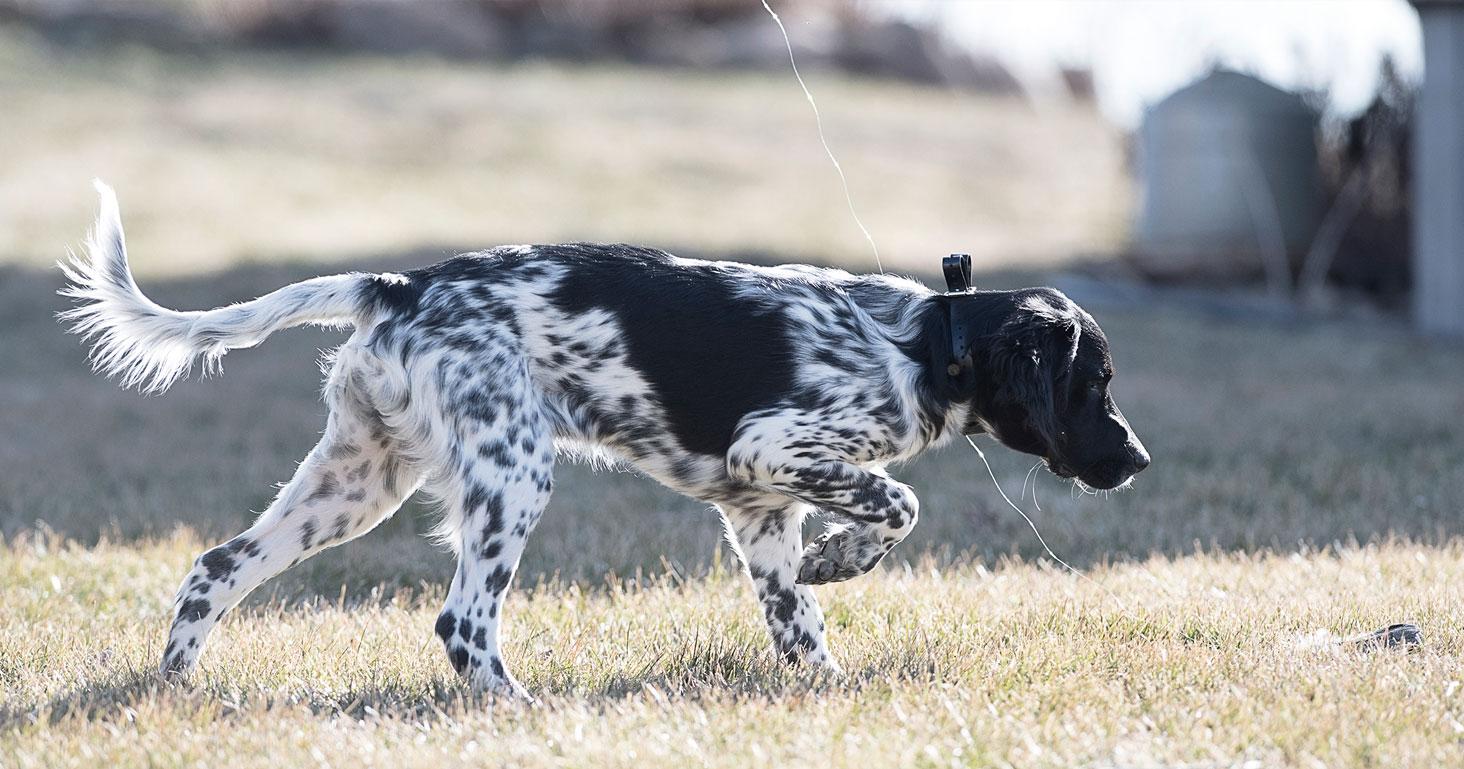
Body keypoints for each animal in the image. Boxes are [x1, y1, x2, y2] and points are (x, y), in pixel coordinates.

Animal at [60, 183, 1141, 697]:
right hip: (512, 474)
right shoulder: (773, 451)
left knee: (215, 565)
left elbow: (798, 623)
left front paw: (832, 681)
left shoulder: (759, 511)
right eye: (1094, 384)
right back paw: (518, 710)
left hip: (355, 480)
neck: (923, 342)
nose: (1134, 461)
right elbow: (897, 502)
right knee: (463, 621)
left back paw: (178, 692)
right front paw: (844, 556)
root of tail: (401, 284)